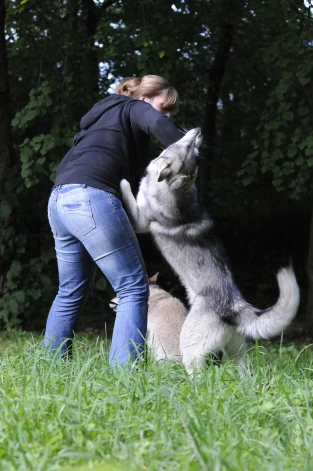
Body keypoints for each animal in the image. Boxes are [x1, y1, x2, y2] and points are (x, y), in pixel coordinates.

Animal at [119, 128, 300, 376]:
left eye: (191, 150)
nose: (198, 131)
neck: (177, 193)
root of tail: (236, 308)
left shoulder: (140, 220)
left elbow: (129, 193)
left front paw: (123, 181)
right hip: (237, 354)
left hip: (191, 350)